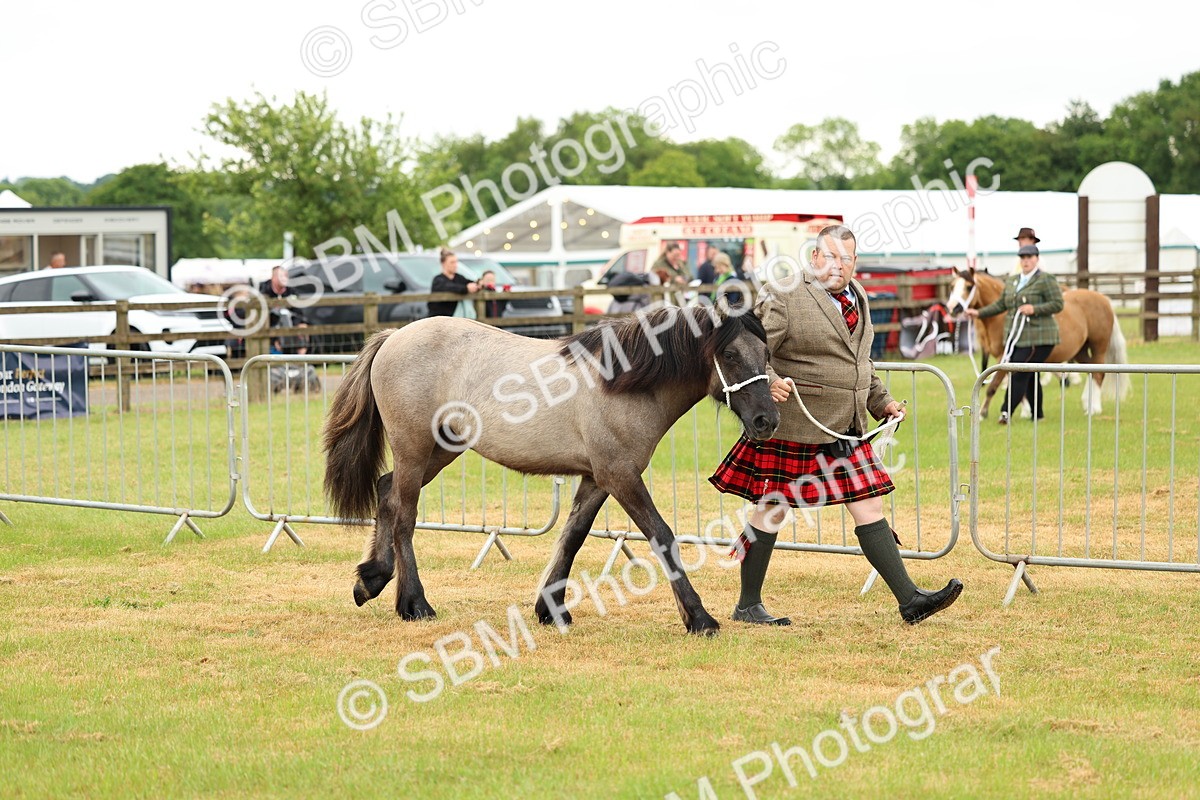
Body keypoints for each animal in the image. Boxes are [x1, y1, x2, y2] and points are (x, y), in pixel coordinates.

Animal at [321, 306, 779, 635]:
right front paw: (699, 618)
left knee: (385, 492)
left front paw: (551, 609)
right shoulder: (620, 476)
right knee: (403, 514)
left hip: (439, 450)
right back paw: (415, 604)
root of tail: (394, 337)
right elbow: (662, 536)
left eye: (767, 353)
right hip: (415, 450)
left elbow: (572, 537)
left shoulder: (597, 479)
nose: (766, 420)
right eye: (730, 355)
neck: (622, 383)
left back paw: (371, 580)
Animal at [946, 267, 1130, 417]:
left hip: (1099, 346)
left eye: (969, 286)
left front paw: (983, 413)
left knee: (1099, 373)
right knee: (1092, 370)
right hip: (1080, 351)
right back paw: (1087, 402)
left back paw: (1094, 408)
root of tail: (1104, 299)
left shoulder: (1004, 357)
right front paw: (1026, 411)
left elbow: (995, 385)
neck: (1002, 317)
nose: (953, 308)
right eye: (952, 286)